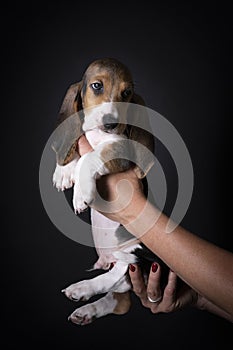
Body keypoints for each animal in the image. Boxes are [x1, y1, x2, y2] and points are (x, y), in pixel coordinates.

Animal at [52, 58, 166, 326]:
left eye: (127, 93)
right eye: (97, 86)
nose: (111, 123)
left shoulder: (120, 150)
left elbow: (93, 155)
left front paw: (81, 193)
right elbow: (78, 143)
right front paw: (64, 170)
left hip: (140, 250)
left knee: (123, 275)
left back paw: (83, 288)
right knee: (120, 298)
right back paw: (86, 307)